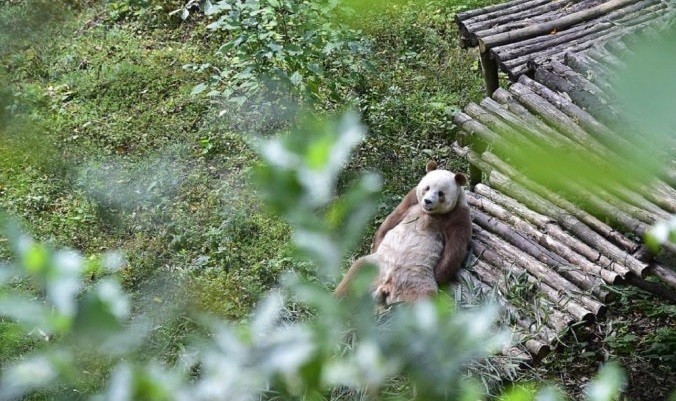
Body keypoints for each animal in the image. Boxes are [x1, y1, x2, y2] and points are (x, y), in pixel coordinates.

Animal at [334, 161, 472, 305]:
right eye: (427, 188)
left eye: (441, 194)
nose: (427, 201)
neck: (429, 213)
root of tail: (386, 285)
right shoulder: (412, 200)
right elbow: (393, 219)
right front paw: (375, 245)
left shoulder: (458, 215)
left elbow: (455, 248)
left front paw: (439, 275)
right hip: (374, 267)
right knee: (354, 274)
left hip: (417, 283)